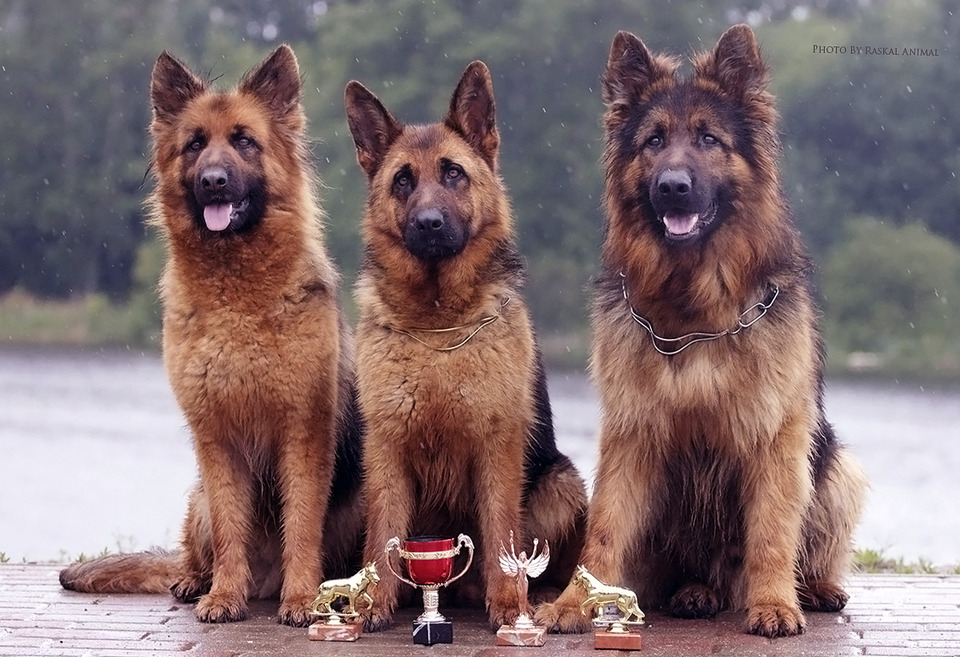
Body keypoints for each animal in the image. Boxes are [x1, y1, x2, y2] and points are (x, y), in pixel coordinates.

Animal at [58, 44, 364, 624]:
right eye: (195, 144)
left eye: (244, 140)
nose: (214, 181)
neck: (235, 301)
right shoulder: (215, 438)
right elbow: (228, 529)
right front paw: (224, 597)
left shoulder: (302, 434)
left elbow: (301, 525)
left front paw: (300, 599)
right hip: (196, 498)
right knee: (193, 553)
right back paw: (195, 582)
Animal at [342, 62, 588, 632]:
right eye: (403, 180)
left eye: (453, 173)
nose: (429, 224)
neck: (440, 326)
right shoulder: (386, 451)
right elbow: (384, 535)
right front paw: (374, 603)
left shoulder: (496, 448)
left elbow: (501, 530)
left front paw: (510, 606)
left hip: (562, 484)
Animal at [536, 25, 868, 636]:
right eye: (653, 141)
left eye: (709, 139)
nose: (673, 187)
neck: (695, 314)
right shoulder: (631, 432)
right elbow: (605, 529)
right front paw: (572, 604)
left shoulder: (775, 436)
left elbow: (772, 531)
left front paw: (774, 605)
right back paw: (694, 592)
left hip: (838, 468)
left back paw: (812, 589)